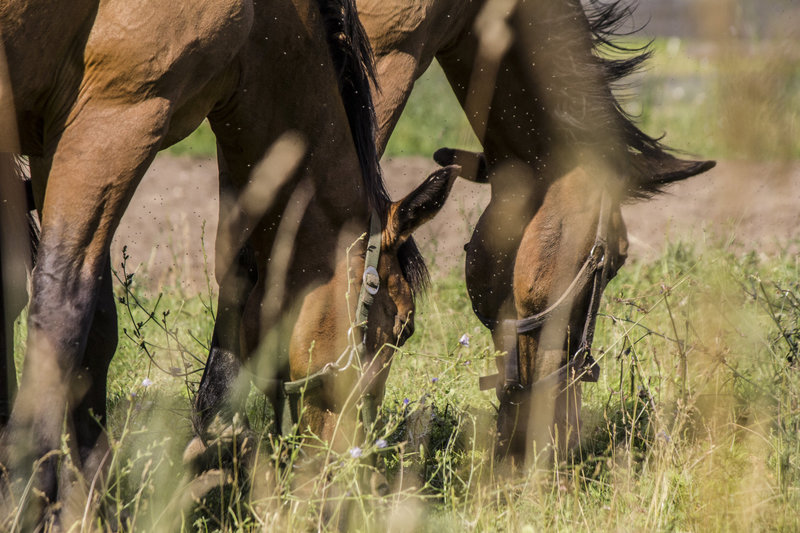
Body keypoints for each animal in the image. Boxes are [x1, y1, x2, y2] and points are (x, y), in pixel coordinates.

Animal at [0, 0, 456, 524]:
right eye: (403, 327)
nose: (355, 470)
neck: (265, 17)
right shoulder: (116, 118)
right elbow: (62, 310)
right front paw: (29, 492)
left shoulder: (53, 143)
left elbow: (95, 326)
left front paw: (89, 502)